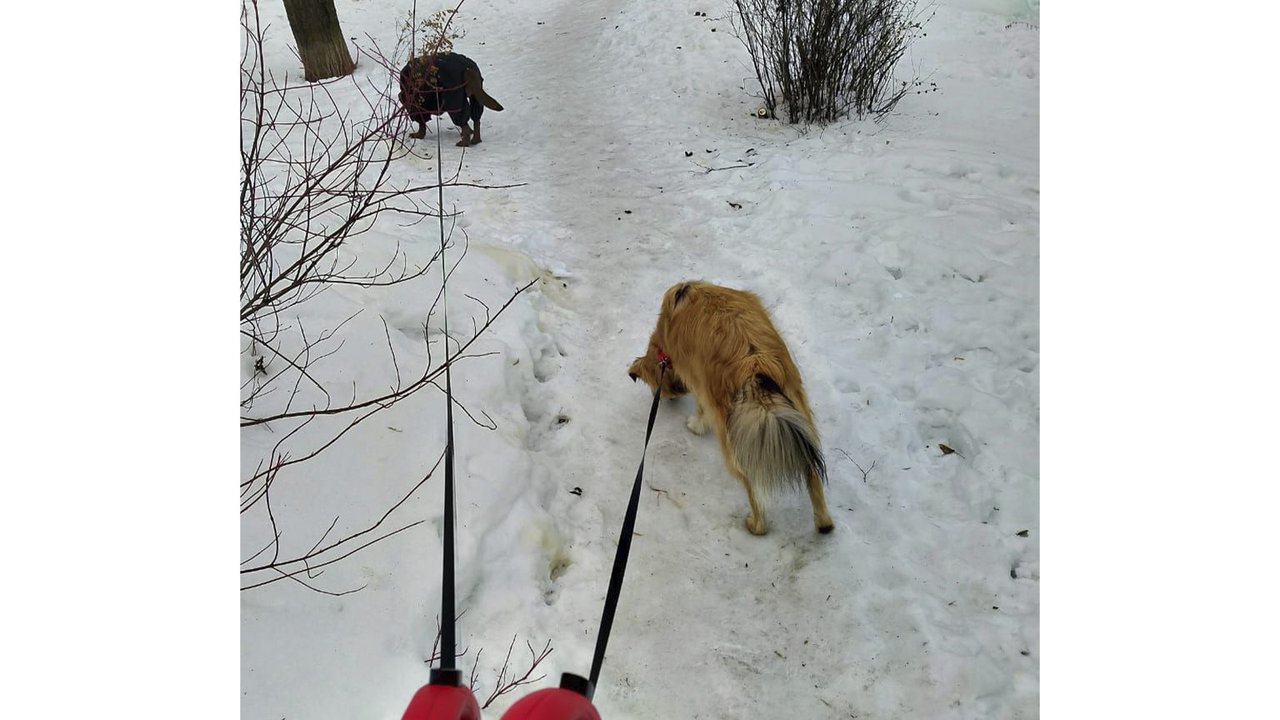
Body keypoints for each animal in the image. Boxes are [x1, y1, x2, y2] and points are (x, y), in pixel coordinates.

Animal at [624, 280, 834, 532]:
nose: (667, 399)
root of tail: (754, 365)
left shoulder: (700, 383)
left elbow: (701, 410)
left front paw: (695, 425)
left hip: (732, 438)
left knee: (749, 481)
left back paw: (756, 524)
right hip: (799, 418)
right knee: (812, 469)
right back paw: (823, 522)